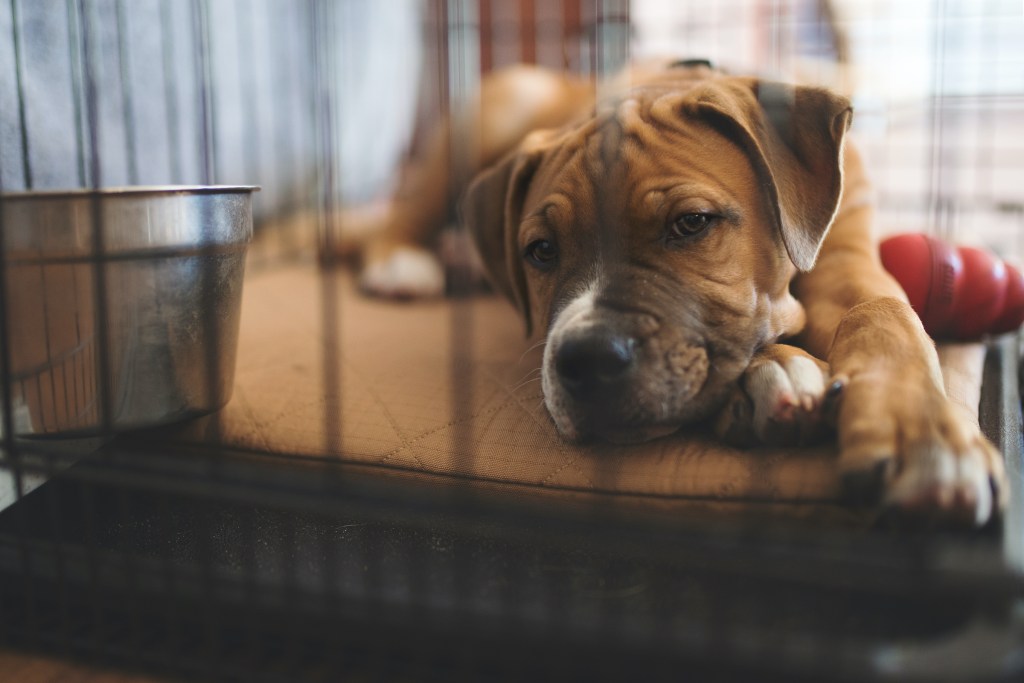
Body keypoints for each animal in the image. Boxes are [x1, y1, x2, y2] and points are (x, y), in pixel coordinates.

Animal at [362, 61, 1007, 528]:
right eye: (541, 251)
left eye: (691, 223)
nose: (587, 360)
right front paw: (777, 371)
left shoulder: (849, 261)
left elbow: (884, 314)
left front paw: (923, 437)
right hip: (500, 105)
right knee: (406, 207)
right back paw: (403, 262)